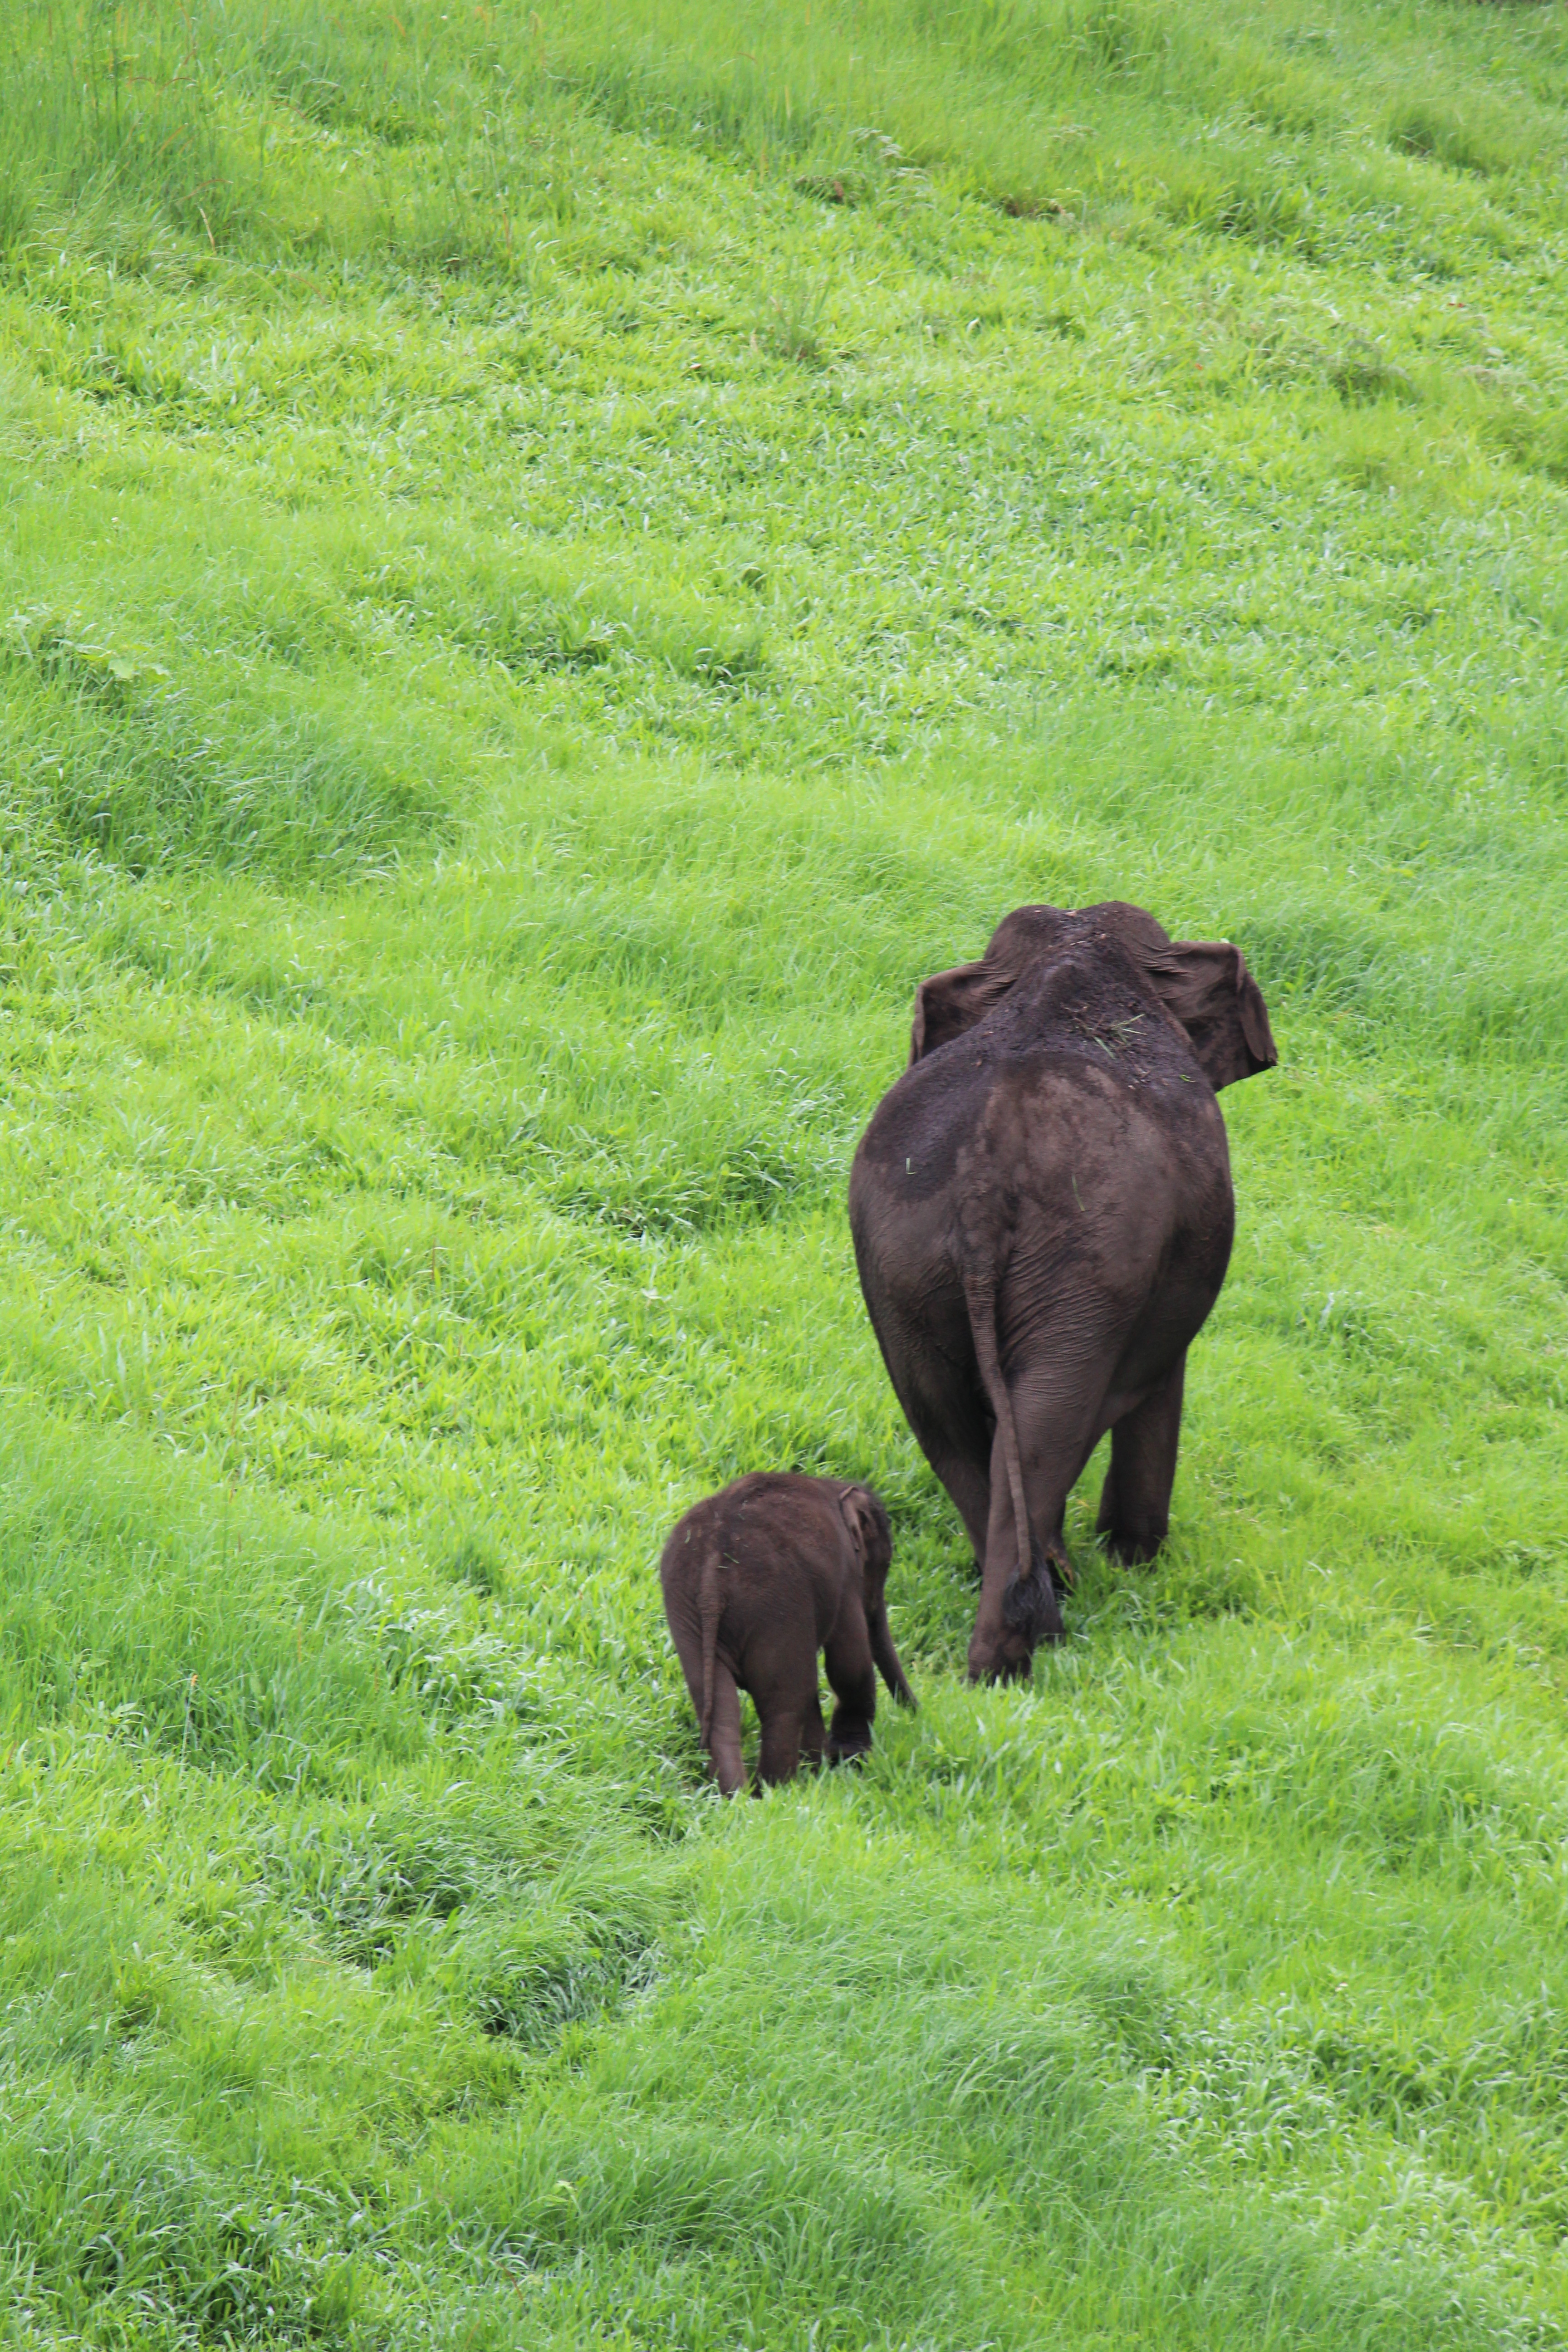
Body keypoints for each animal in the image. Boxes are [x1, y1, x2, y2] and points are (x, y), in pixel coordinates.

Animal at [663, 1467, 921, 1797]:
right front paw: (848, 1760)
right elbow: (850, 1664)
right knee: (786, 1701)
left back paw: (738, 1798)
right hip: (775, 1607)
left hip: (688, 1613)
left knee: (721, 1708)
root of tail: (712, 1571)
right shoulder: (845, 1579)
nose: (917, 1712)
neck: (834, 1487)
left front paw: (824, 1762)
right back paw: (775, 1792)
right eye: (885, 1565)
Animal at [851, 889, 1279, 1684]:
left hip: (901, 1260)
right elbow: (1159, 1384)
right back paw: (1019, 1650)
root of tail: (986, 1171)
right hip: (1093, 1261)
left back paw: (1022, 1615)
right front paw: (1135, 1561)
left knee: (947, 1418)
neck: (1074, 959)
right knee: (1052, 1417)